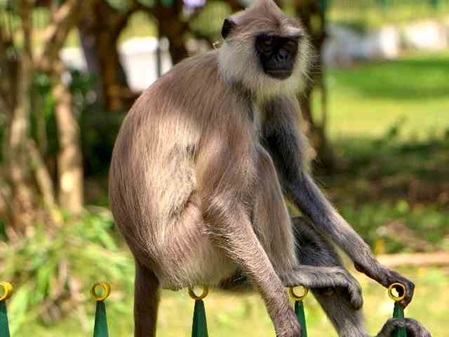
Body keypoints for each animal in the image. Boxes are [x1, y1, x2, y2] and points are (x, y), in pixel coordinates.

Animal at [108, 0, 430, 336]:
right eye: (266, 43)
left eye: (287, 44)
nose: (281, 57)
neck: (235, 74)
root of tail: (144, 260)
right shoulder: (229, 105)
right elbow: (222, 204)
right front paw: (283, 311)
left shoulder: (276, 94)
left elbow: (295, 178)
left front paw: (375, 266)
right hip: (189, 252)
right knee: (260, 164)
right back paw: (288, 273)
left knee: (301, 226)